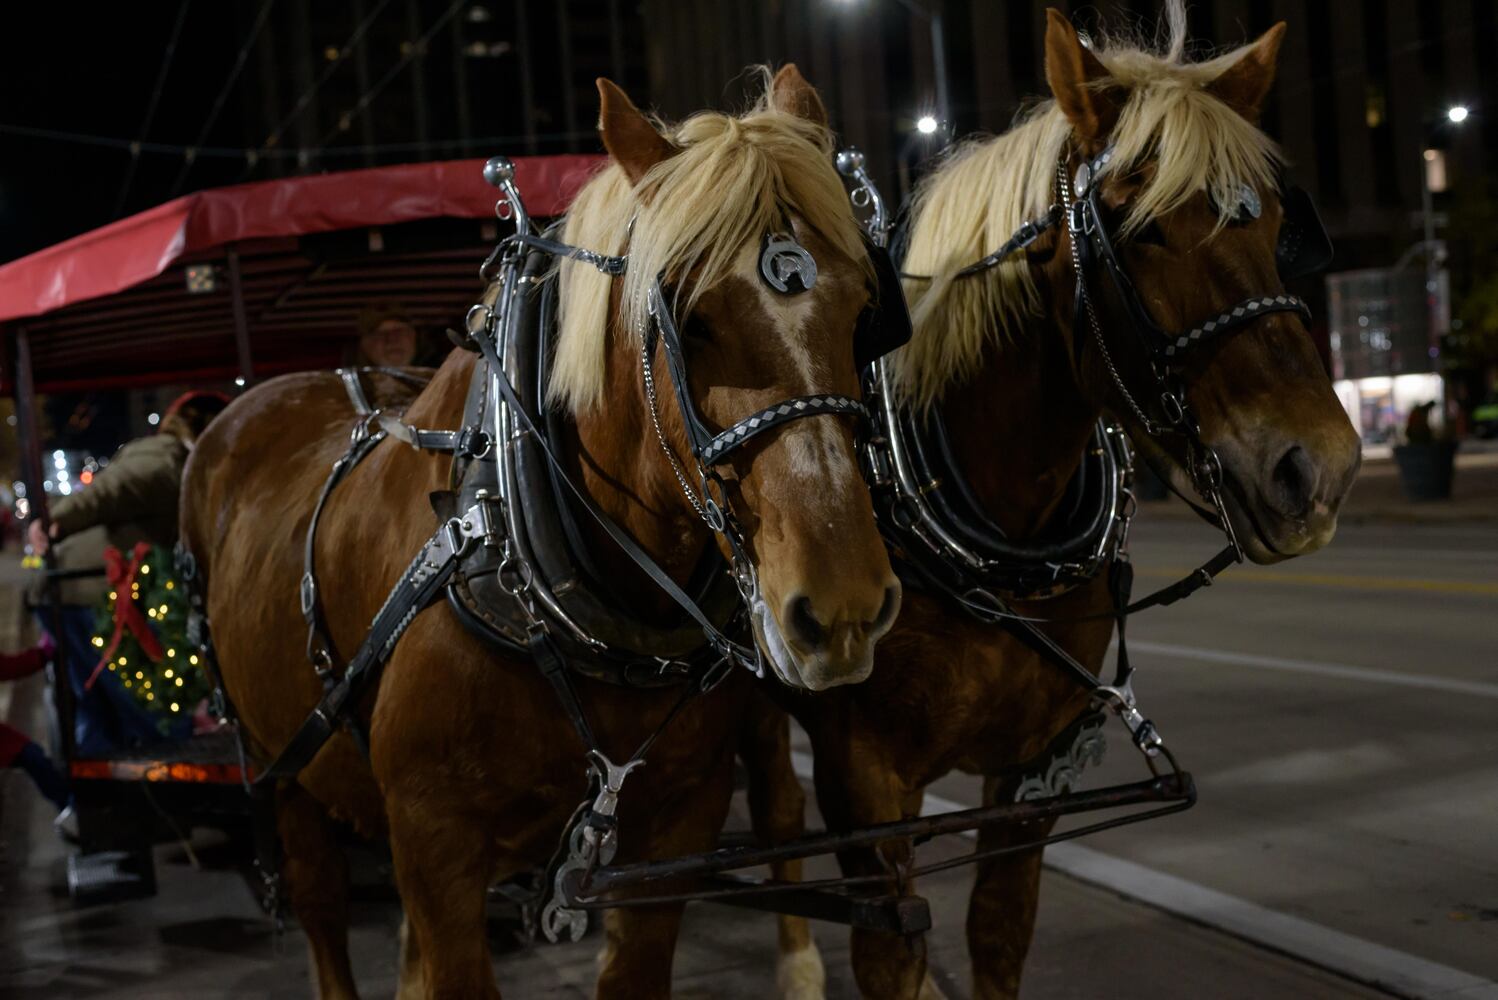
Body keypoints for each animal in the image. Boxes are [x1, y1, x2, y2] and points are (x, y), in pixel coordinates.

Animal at [175, 66, 898, 994]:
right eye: (689, 320)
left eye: (865, 309)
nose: (842, 605)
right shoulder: (435, 849)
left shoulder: (671, 833)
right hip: (286, 768)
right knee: (320, 907)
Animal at [740, 9, 1372, 999]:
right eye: (1140, 231)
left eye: (1274, 222)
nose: (1321, 468)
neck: (1001, 536)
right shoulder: (867, 783)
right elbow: (888, 949)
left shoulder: (1039, 767)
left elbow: (999, 934)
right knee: (772, 814)